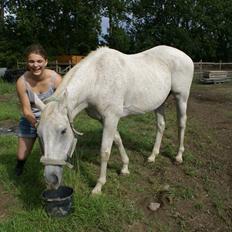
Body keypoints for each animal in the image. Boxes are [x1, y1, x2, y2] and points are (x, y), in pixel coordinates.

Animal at [35, 45, 194, 194]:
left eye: (63, 131)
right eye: (39, 134)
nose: (51, 179)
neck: (96, 78)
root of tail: (186, 57)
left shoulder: (111, 118)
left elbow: (105, 151)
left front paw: (98, 186)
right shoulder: (105, 119)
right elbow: (117, 140)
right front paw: (125, 168)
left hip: (181, 97)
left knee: (181, 124)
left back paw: (178, 156)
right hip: (160, 102)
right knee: (161, 125)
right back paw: (152, 156)